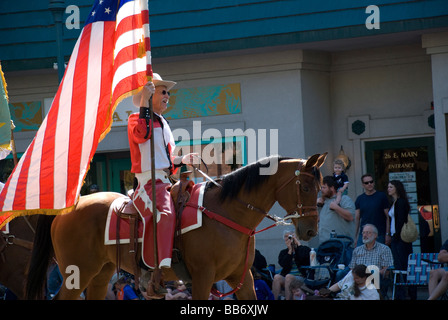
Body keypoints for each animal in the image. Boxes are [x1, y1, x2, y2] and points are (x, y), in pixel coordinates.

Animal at [27, 154, 326, 298]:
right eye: (306, 187)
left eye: (321, 186)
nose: (311, 230)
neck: (227, 212)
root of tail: (71, 205)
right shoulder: (203, 278)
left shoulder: (241, 279)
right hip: (76, 274)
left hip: (100, 274)